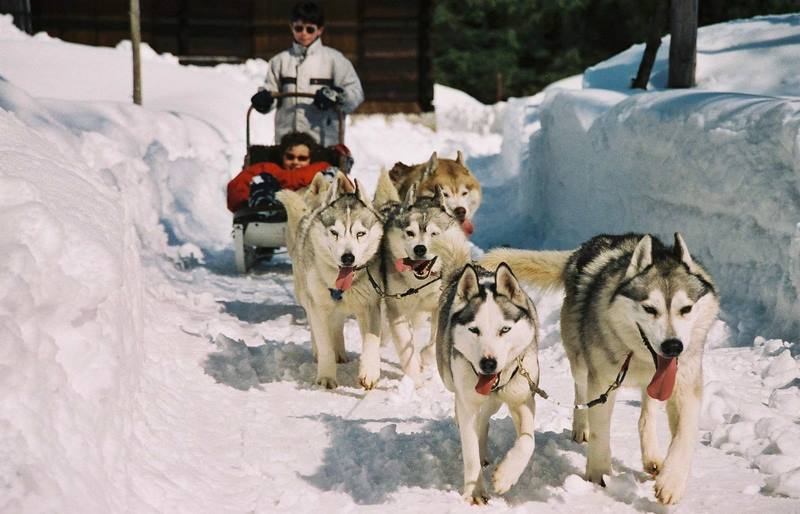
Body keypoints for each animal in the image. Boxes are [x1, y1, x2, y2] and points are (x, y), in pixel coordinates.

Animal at [278, 170, 384, 386]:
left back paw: (341, 353)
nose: (347, 257)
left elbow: (371, 340)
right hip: (307, 297)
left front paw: (369, 371)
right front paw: (326, 376)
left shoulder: (370, 306)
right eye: (334, 232)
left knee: (336, 325)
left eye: (360, 233)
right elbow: (324, 342)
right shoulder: (317, 306)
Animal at [372, 170, 466, 382]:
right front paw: (415, 380)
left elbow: (433, 343)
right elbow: (405, 348)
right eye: (410, 233)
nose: (420, 249)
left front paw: (425, 357)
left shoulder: (439, 307)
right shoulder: (397, 309)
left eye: (434, 234)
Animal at [434, 233, 540, 504]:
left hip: (496, 401)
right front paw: (474, 493)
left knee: (485, 419)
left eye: (504, 329)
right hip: (453, 381)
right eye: (474, 330)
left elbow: (528, 441)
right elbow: (470, 452)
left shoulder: (522, 398)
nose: (488, 363)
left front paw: (506, 476)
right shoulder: (468, 402)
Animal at [482, 231, 720, 500]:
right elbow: (600, 430)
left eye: (686, 308)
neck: (639, 357)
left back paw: (651, 456)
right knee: (581, 393)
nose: (673, 347)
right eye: (650, 309)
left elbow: (685, 434)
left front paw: (672, 482)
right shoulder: (602, 382)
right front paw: (599, 475)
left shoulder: (685, 385)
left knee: (647, 413)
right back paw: (580, 428)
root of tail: (581, 251)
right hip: (579, 361)